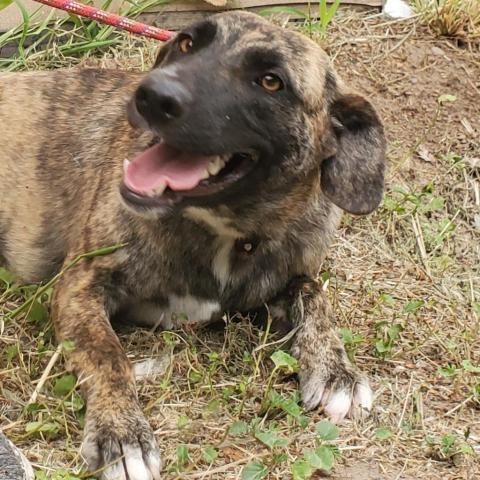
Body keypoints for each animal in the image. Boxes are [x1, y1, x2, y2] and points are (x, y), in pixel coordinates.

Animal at [0, 11, 382, 480]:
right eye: (185, 44)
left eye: (271, 81)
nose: (152, 96)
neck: (226, 230)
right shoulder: (81, 285)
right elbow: (108, 355)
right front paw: (121, 432)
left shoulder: (288, 269)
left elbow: (313, 292)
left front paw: (334, 368)